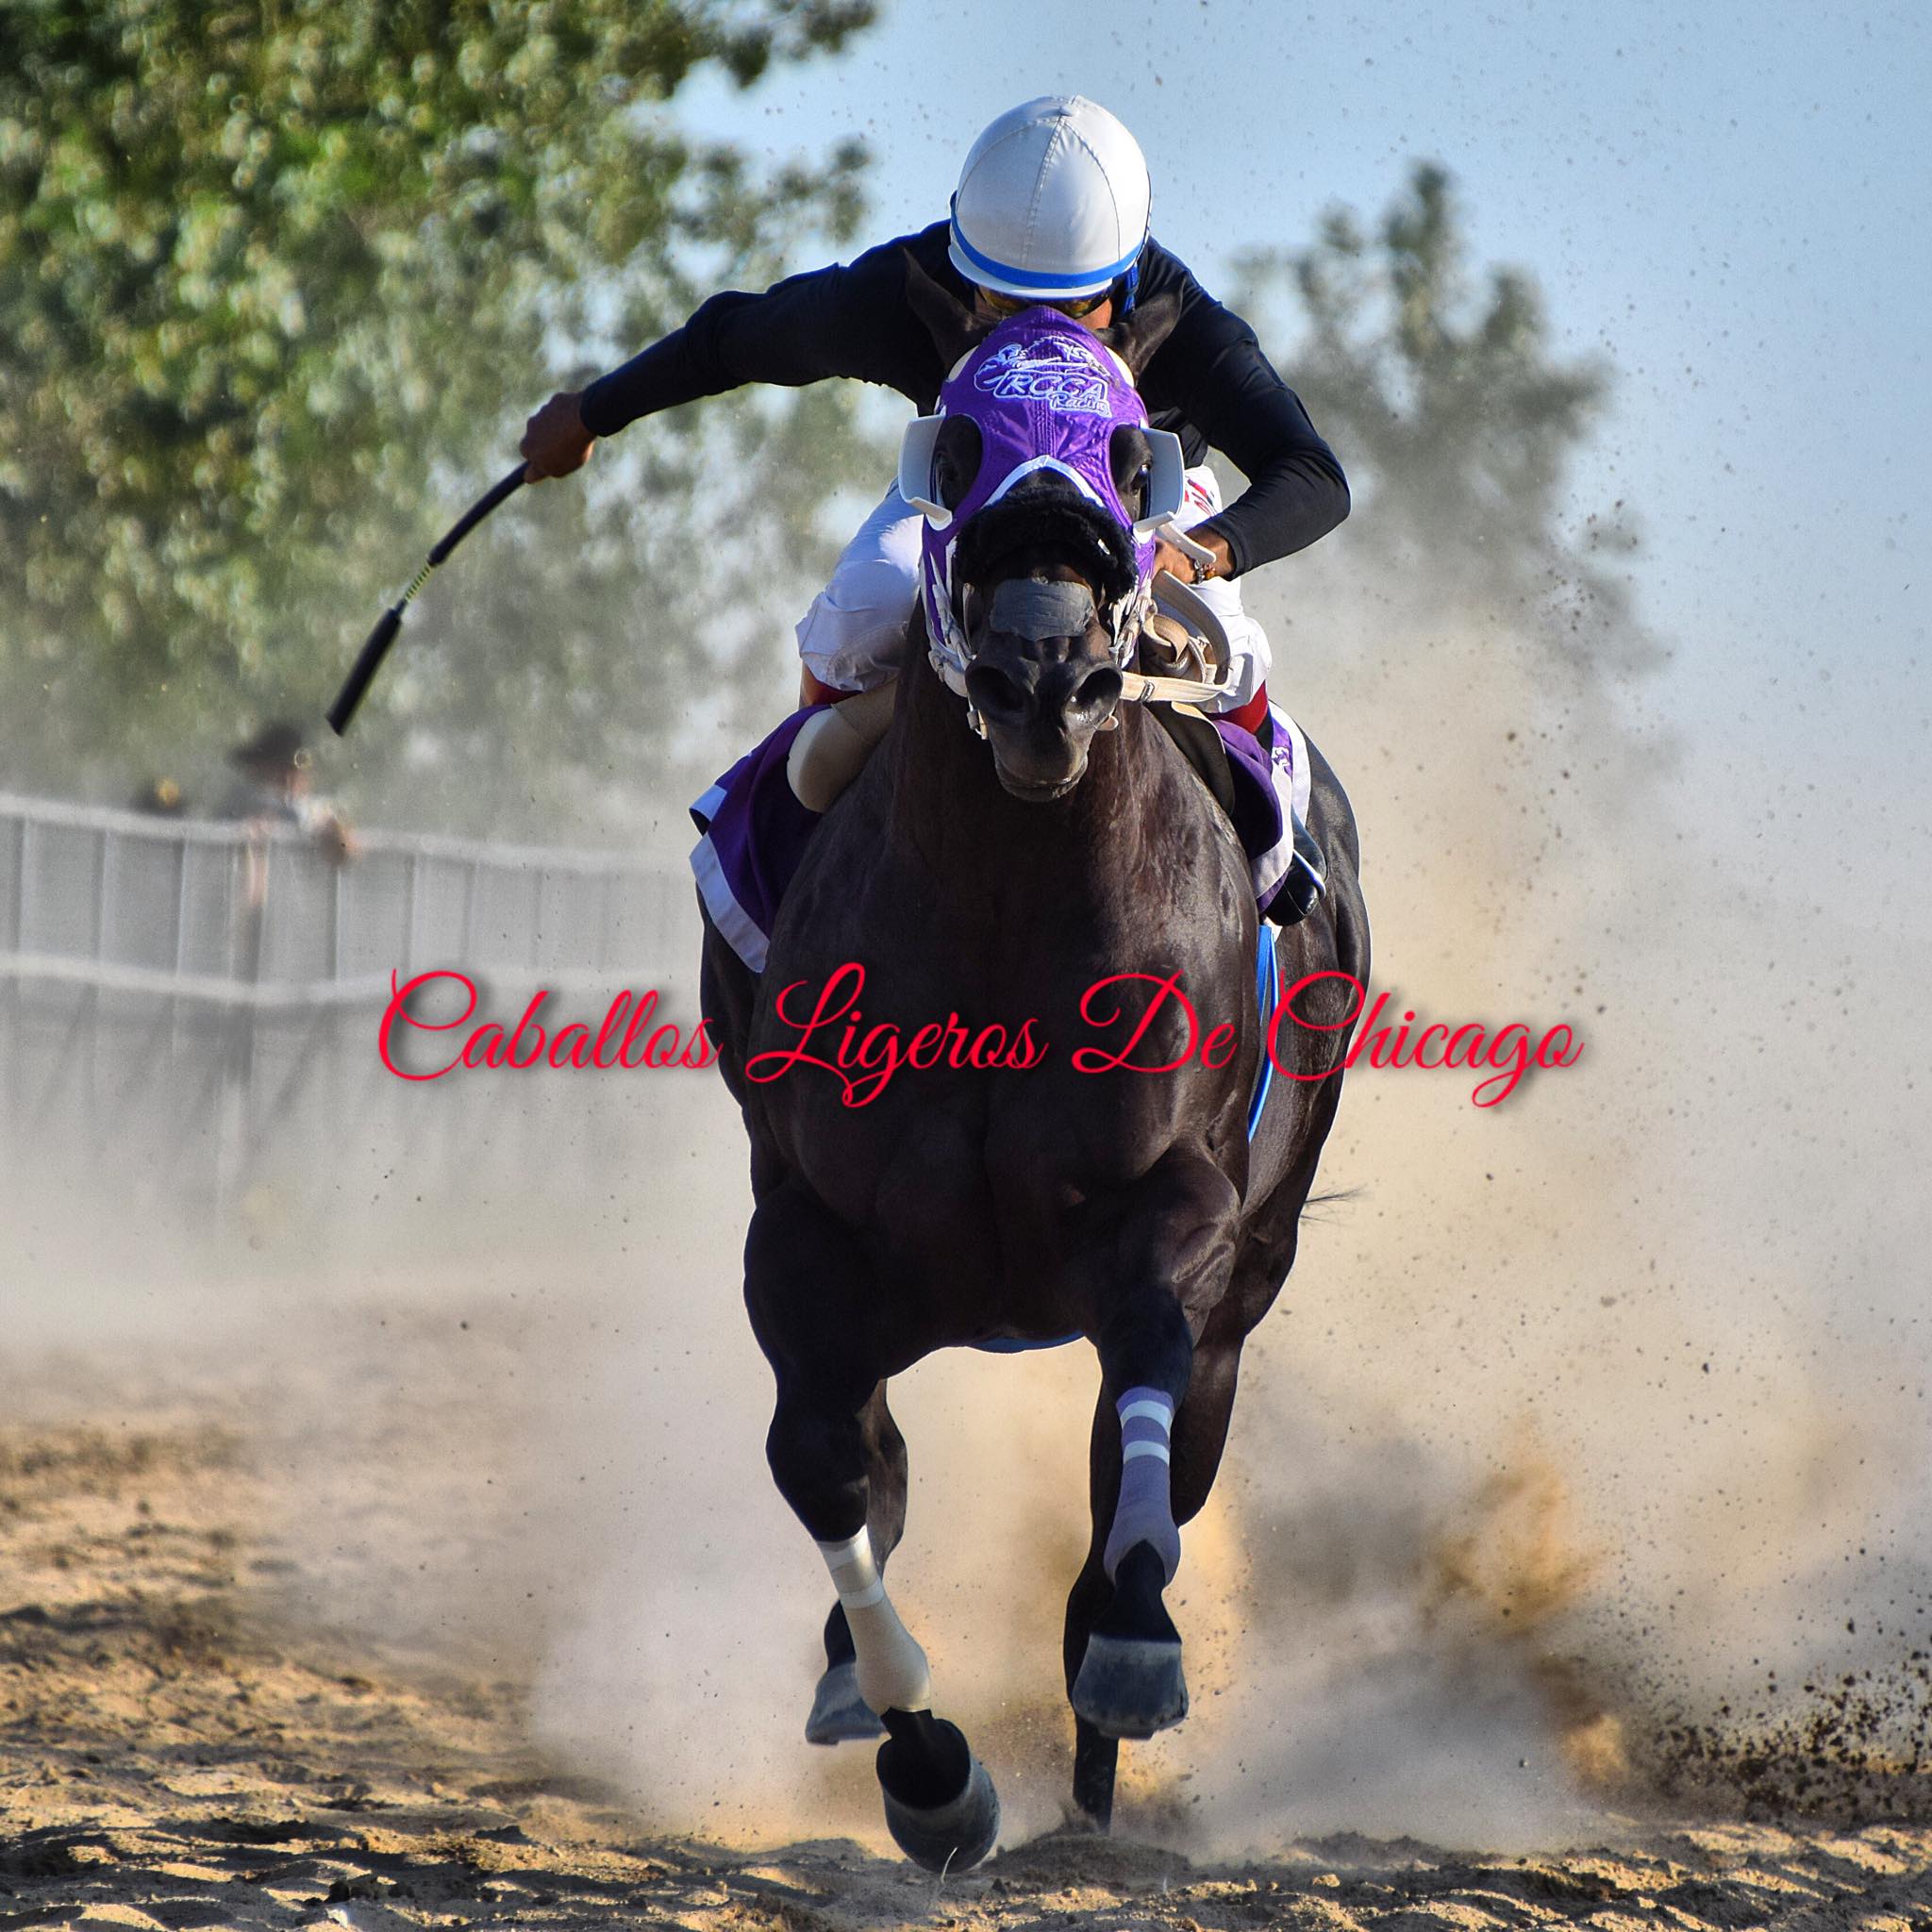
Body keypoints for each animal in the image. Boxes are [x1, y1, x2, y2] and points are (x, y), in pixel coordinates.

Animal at [696, 270, 1370, 1868]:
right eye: (956, 447)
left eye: (1130, 454)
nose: (1041, 677)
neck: (1007, 898)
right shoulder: (806, 1238)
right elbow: (826, 1467)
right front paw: (928, 1768)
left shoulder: (1176, 1213)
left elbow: (1142, 1406)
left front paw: (1129, 1648)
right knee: (874, 1465)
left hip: (1257, 1271)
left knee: (1159, 1441)